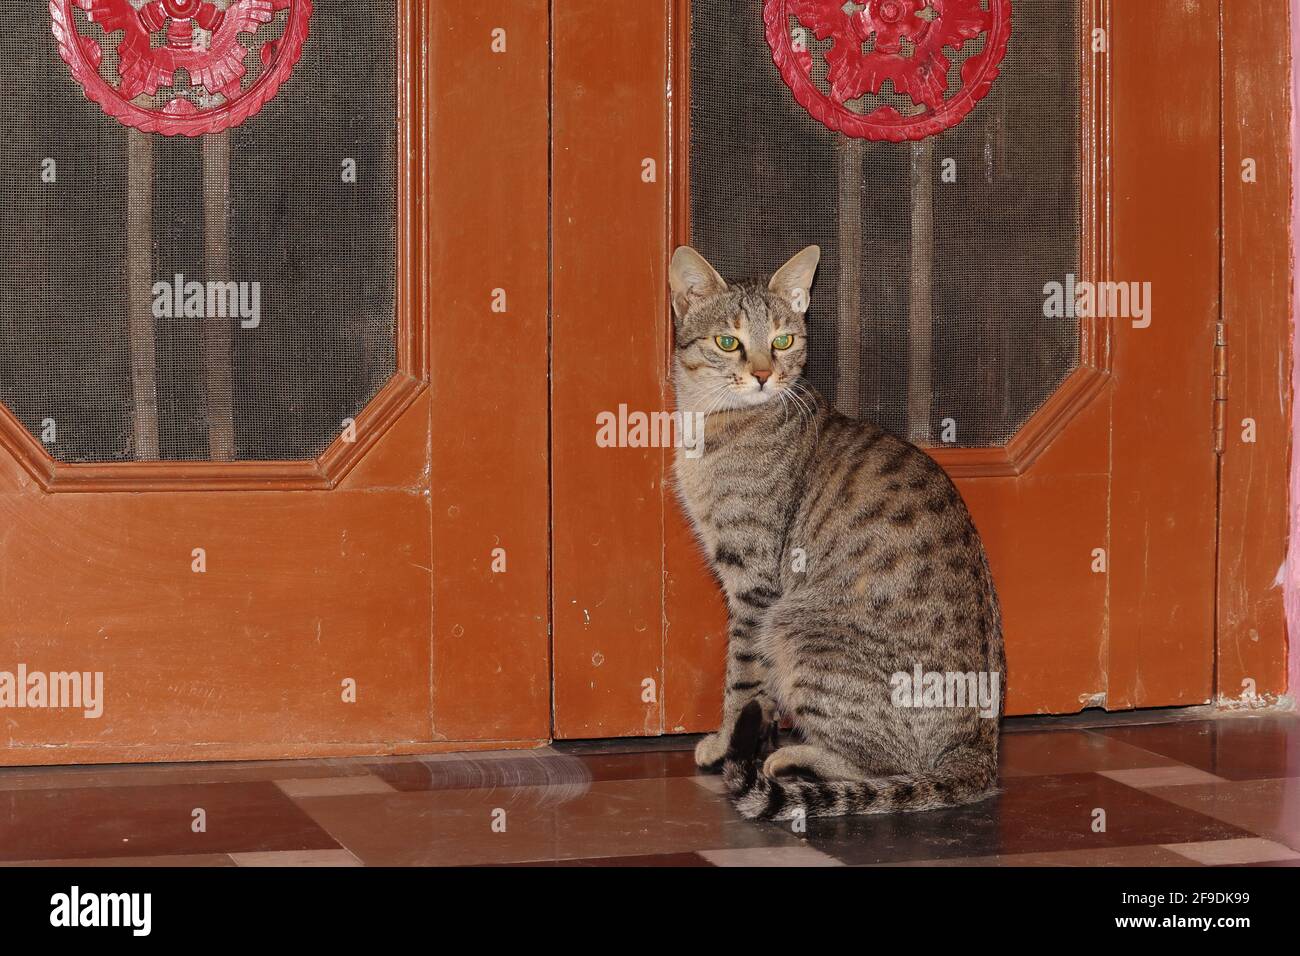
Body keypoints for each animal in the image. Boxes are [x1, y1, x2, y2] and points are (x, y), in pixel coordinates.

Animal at [670, 243, 1003, 816]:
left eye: (782, 340)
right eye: (727, 342)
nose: (764, 375)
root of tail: (981, 753)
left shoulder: (754, 582)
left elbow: (741, 678)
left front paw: (726, 741)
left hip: (795, 624)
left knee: (883, 767)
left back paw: (791, 757)